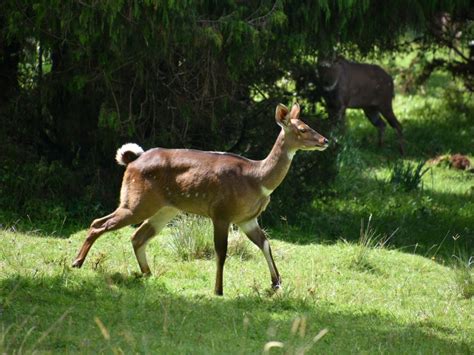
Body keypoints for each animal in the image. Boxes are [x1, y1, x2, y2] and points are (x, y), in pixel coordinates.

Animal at [71, 102, 330, 294]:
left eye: (308, 125)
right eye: (302, 129)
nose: (324, 140)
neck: (257, 180)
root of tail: (131, 160)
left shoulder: (247, 218)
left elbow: (265, 243)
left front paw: (276, 283)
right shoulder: (222, 212)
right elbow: (221, 252)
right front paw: (218, 290)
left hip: (165, 209)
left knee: (137, 236)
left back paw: (147, 273)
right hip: (136, 201)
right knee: (100, 223)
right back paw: (77, 262)